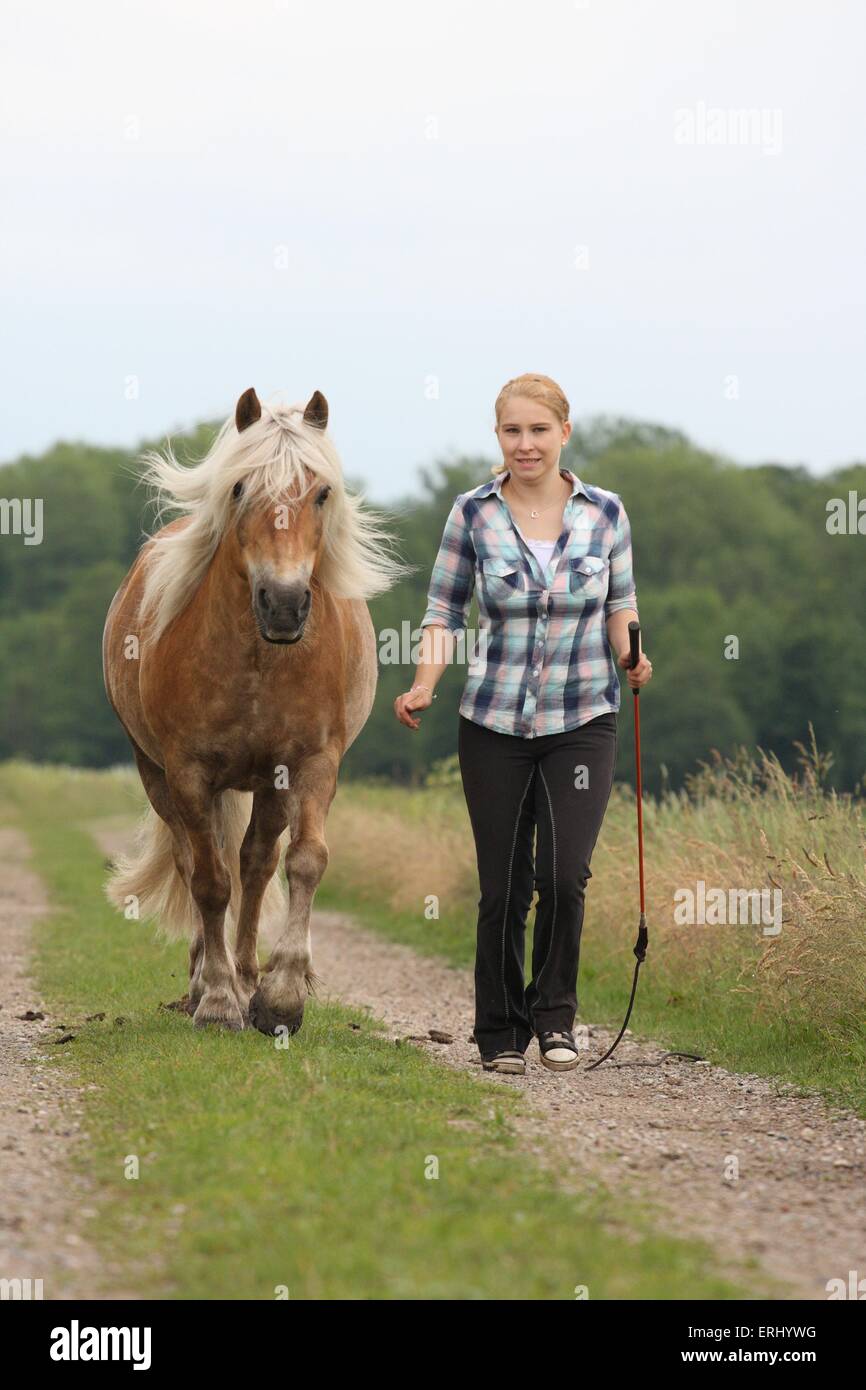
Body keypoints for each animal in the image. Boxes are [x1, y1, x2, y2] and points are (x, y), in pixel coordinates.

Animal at [103, 389, 411, 1034]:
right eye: (241, 488)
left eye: (321, 492)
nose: (285, 603)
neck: (260, 661)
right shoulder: (189, 773)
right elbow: (208, 881)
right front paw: (218, 1000)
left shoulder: (311, 763)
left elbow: (304, 861)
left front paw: (281, 995)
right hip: (157, 775)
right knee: (196, 862)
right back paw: (208, 981)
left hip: (268, 785)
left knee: (257, 861)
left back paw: (248, 977)